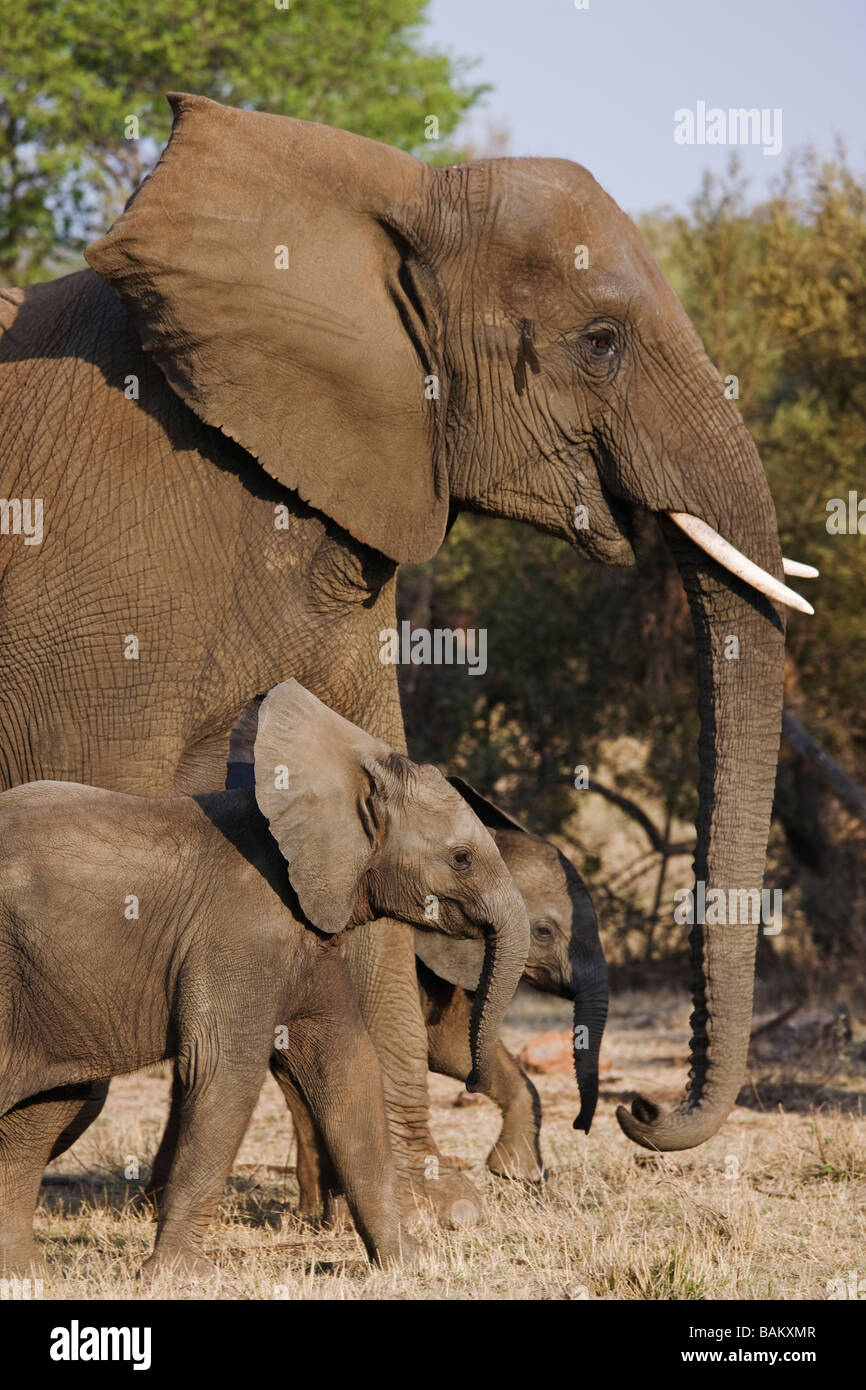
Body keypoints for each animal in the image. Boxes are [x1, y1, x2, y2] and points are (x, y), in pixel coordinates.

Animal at [0, 678, 528, 1273]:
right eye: (461, 858)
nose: (474, 1084)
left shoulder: (308, 933)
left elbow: (347, 1068)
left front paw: (408, 1265)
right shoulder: (241, 928)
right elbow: (222, 1069)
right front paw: (176, 1276)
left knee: (46, 1111)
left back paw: (24, 1276)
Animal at [1, 95, 811, 1206]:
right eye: (599, 342)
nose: (640, 1111)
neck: (402, 193)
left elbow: (364, 789)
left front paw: (425, 1195)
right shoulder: (99, 559)